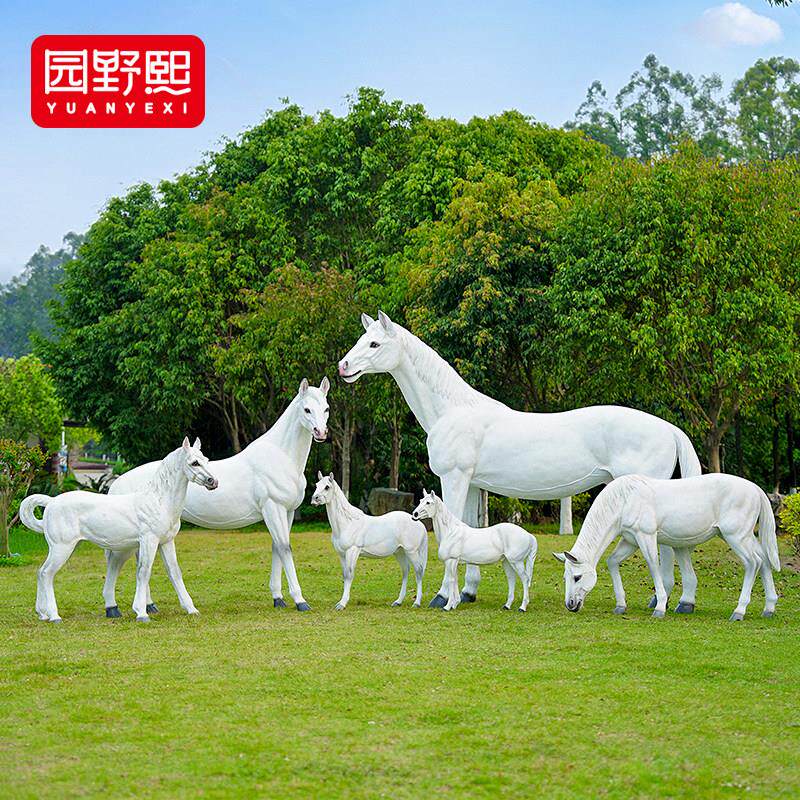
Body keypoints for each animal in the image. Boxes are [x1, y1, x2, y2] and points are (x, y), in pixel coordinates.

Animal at [19, 437, 218, 622]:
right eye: (194, 462)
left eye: (206, 460)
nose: (213, 481)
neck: (158, 501)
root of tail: (51, 502)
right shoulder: (149, 540)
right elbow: (144, 572)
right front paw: (141, 613)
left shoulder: (166, 542)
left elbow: (174, 572)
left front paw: (191, 609)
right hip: (62, 548)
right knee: (46, 574)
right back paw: (54, 616)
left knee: (40, 573)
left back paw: (43, 614)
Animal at [109, 378, 330, 612]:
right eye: (306, 409)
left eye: (326, 408)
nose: (321, 433)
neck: (280, 456)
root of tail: (119, 483)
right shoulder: (273, 508)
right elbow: (285, 548)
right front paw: (300, 600)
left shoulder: (287, 512)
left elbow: (277, 548)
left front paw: (278, 598)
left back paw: (149, 605)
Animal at [311, 472, 427, 609]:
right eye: (317, 485)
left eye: (327, 487)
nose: (314, 499)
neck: (348, 522)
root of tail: (418, 522)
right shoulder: (342, 554)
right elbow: (345, 575)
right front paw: (340, 602)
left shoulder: (352, 551)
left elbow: (349, 575)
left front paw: (342, 604)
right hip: (400, 552)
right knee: (405, 571)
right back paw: (398, 601)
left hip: (411, 552)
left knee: (418, 572)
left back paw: (417, 602)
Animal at [338, 311, 701, 609]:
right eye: (359, 339)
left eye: (374, 343)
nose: (343, 367)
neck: (453, 411)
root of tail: (668, 428)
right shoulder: (472, 483)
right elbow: (470, 527)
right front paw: (467, 592)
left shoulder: (454, 477)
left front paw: (442, 596)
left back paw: (675, 600)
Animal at [554, 473, 780, 620]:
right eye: (566, 578)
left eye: (577, 577)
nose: (570, 605)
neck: (625, 499)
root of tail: (755, 489)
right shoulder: (630, 540)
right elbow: (612, 562)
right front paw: (620, 605)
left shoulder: (645, 537)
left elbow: (654, 566)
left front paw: (660, 608)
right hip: (742, 537)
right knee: (764, 561)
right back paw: (769, 608)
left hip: (735, 537)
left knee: (753, 563)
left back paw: (739, 611)